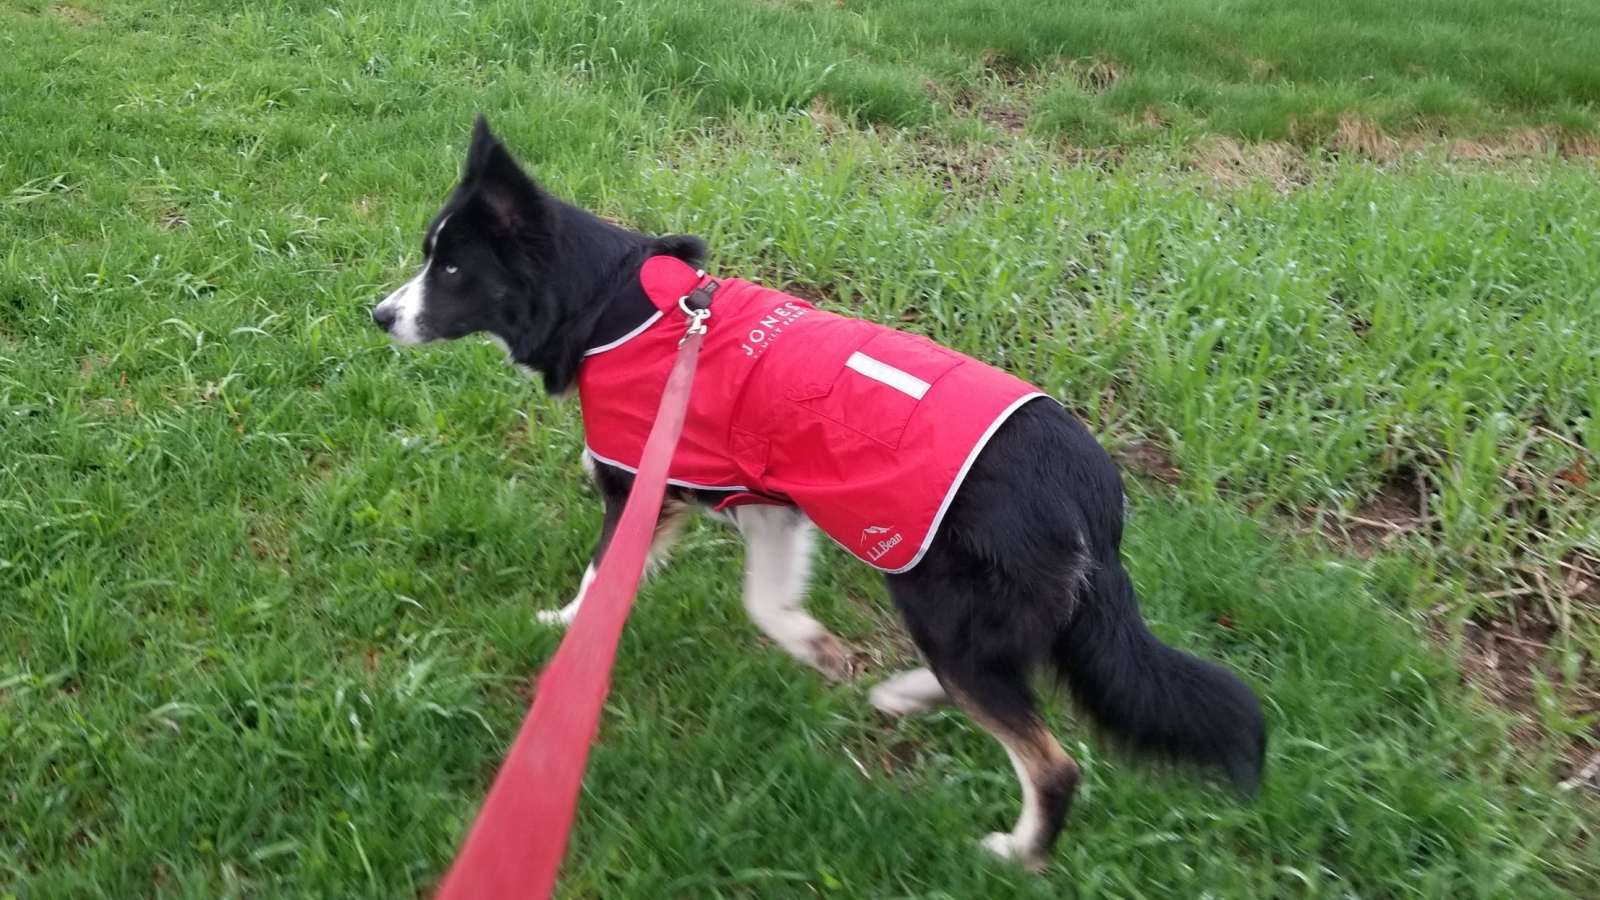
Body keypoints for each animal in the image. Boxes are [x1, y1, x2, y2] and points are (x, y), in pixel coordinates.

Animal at [371, 115, 1260, 864]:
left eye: (452, 268)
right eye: (430, 256)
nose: (379, 314)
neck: (615, 308)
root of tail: (1091, 490)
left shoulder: (644, 488)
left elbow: (602, 581)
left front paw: (565, 632)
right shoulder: (766, 503)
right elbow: (765, 600)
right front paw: (814, 646)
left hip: (942, 597)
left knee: (1047, 757)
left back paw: (1018, 852)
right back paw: (903, 696)